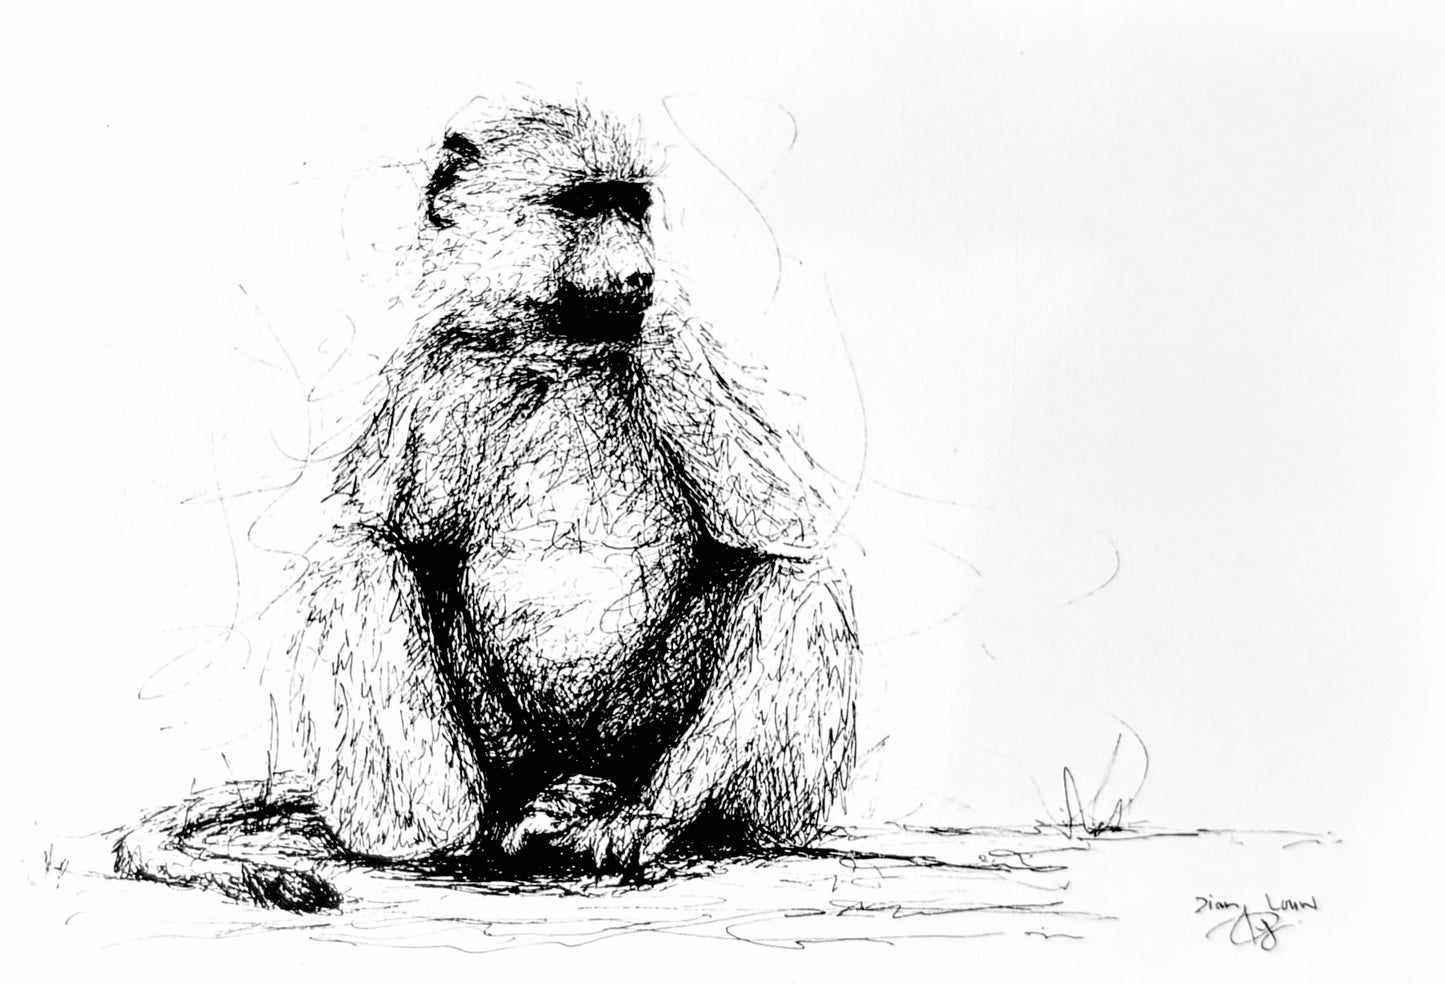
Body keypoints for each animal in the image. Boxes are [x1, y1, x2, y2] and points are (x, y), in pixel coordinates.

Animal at [113, 96, 859, 912]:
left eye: (631, 206)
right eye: (582, 204)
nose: (639, 273)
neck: (551, 352)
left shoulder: (677, 356)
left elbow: (779, 543)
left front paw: (648, 824)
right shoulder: (429, 376)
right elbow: (377, 537)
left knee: (793, 587)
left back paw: (651, 815)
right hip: (504, 748)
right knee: (361, 567)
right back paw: (479, 831)